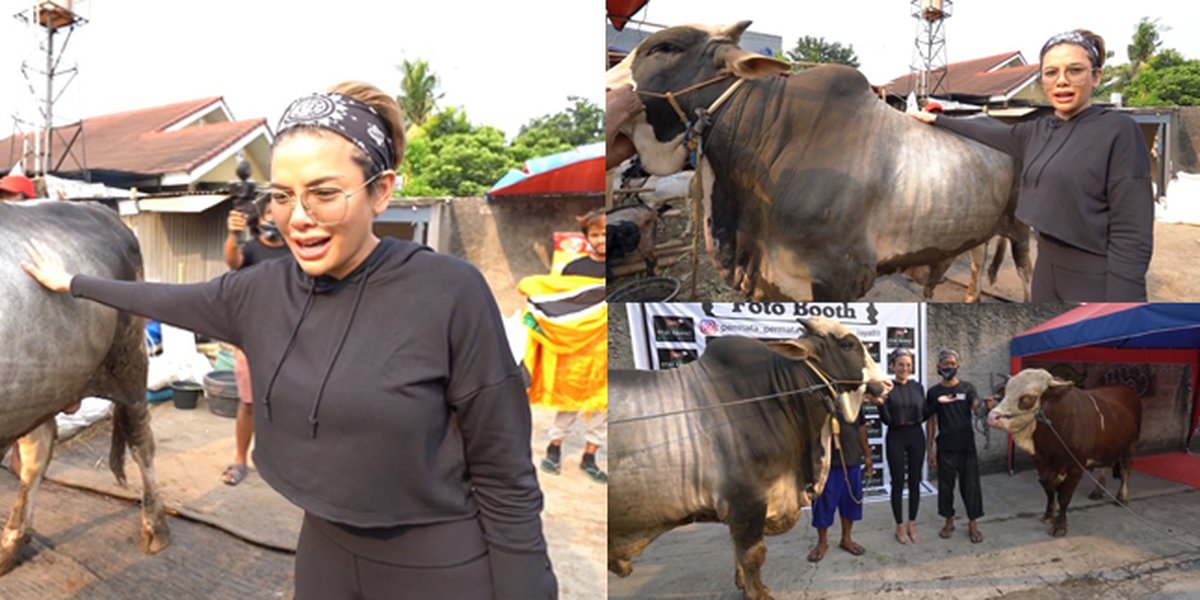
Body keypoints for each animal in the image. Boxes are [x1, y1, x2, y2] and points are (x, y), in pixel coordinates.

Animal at [0, 202, 170, 576]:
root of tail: (99, 208)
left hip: (129, 362)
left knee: (142, 442)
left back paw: (155, 527)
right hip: (40, 385)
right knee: (38, 451)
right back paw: (11, 544)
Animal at [614, 316, 888, 597]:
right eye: (847, 345)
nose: (887, 384)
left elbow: (738, 550)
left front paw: (744, 585)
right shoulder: (747, 501)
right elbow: (752, 554)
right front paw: (759, 593)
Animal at [984, 367, 1142, 537]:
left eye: (1028, 398)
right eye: (1006, 392)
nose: (992, 416)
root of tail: (1125, 389)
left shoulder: (1076, 467)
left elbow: (1064, 497)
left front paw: (1060, 526)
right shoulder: (1041, 464)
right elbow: (1049, 490)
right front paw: (1049, 515)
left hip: (1130, 447)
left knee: (1125, 471)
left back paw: (1122, 497)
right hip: (1108, 447)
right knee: (1105, 467)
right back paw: (1098, 491)